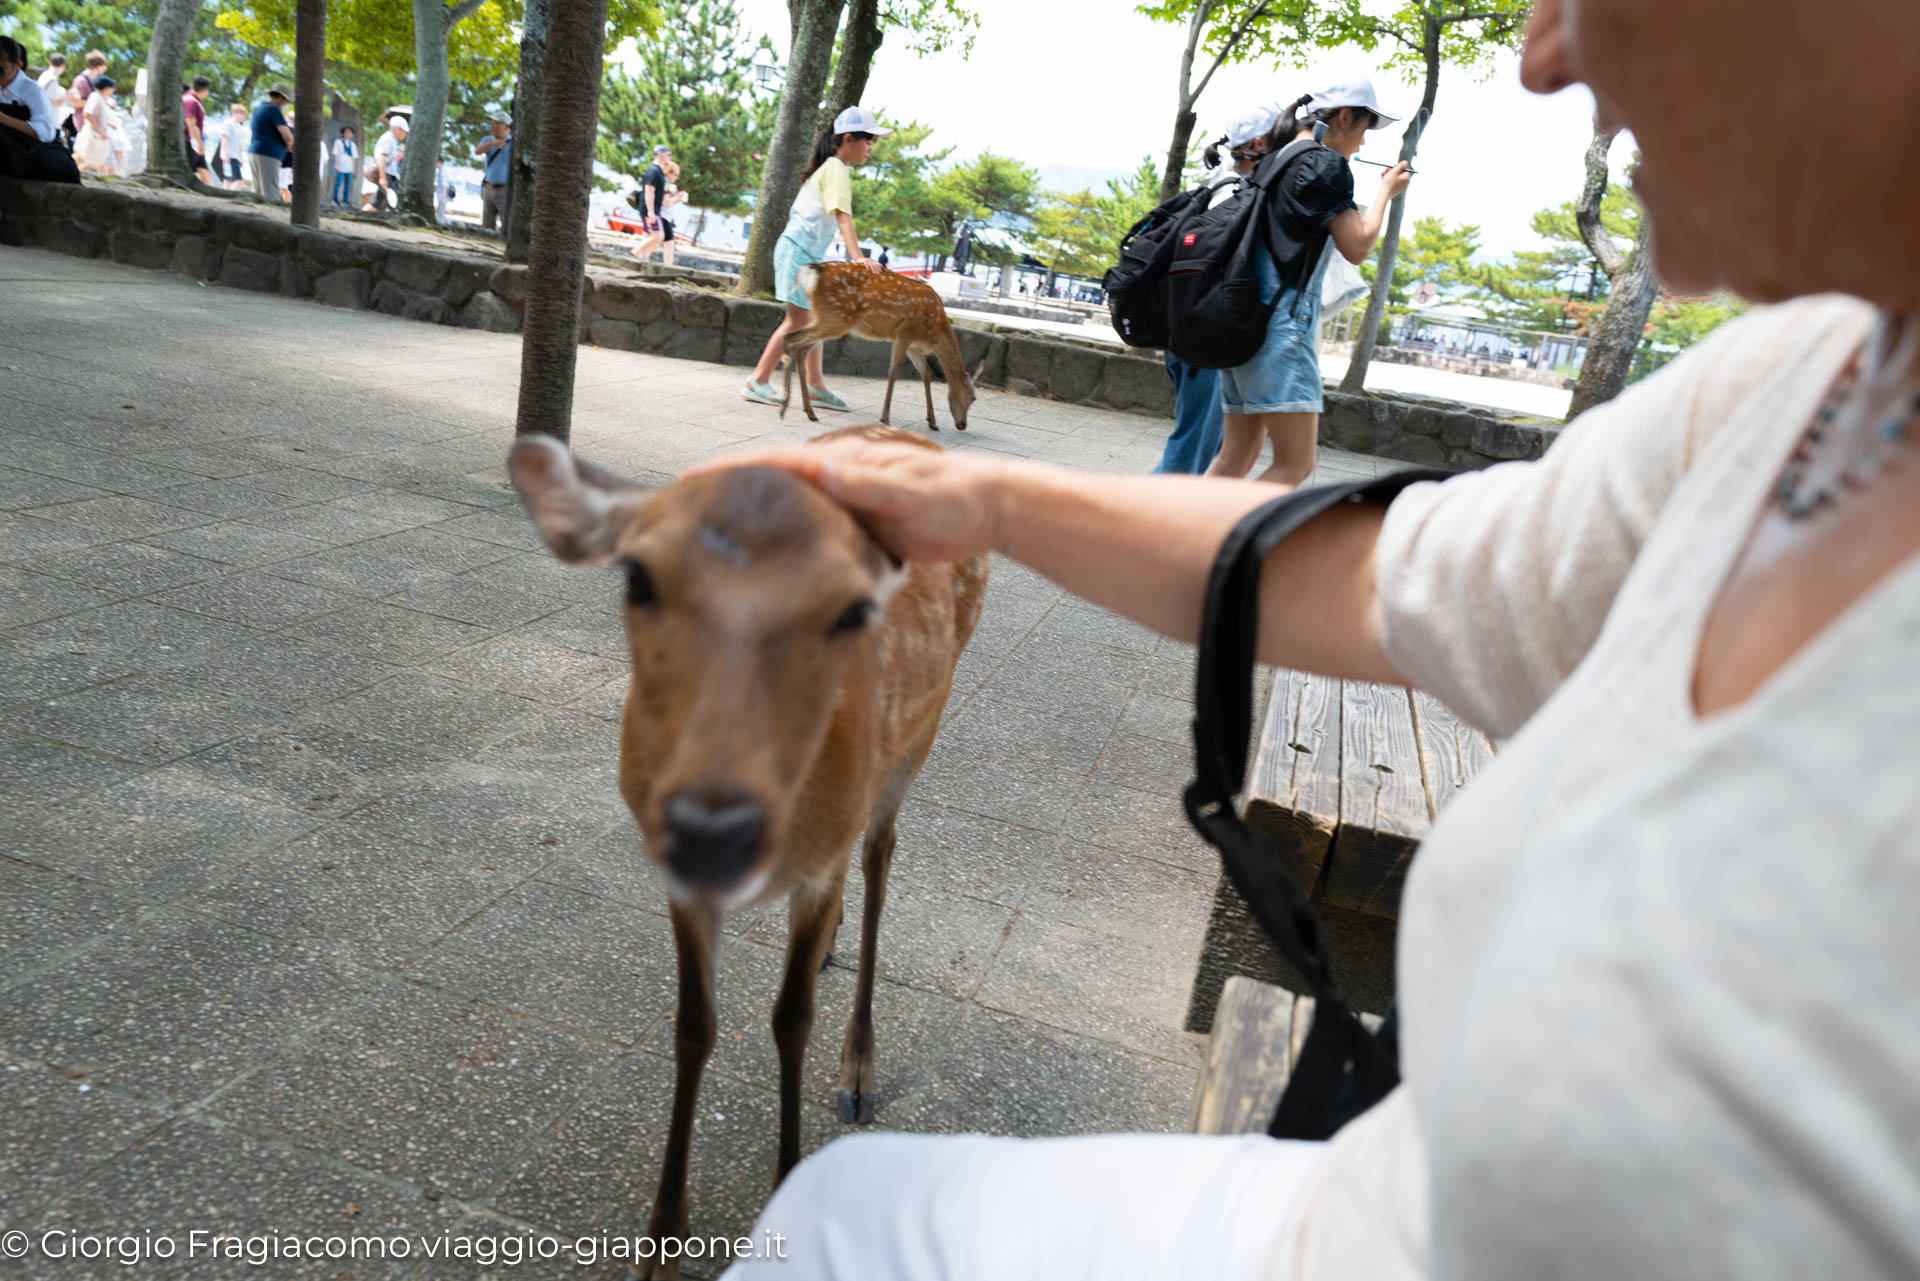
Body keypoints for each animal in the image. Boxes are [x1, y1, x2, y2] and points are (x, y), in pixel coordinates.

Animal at [506, 422, 990, 1281]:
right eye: (637, 575)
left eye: (853, 607)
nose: (710, 826)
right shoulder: (684, 882)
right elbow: (693, 1024)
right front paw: (662, 1238)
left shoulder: (819, 858)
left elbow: (789, 1018)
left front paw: (786, 1187)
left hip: (920, 735)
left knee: (882, 853)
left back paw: (857, 1066)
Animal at [779, 265, 983, 435]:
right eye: (973, 398)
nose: (963, 425)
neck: (936, 334)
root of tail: (809, 271)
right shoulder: (905, 333)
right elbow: (894, 370)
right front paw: (885, 417)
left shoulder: (914, 347)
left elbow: (925, 374)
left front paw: (932, 422)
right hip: (836, 318)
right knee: (790, 339)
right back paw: (784, 406)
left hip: (827, 319)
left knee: (801, 349)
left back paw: (808, 411)